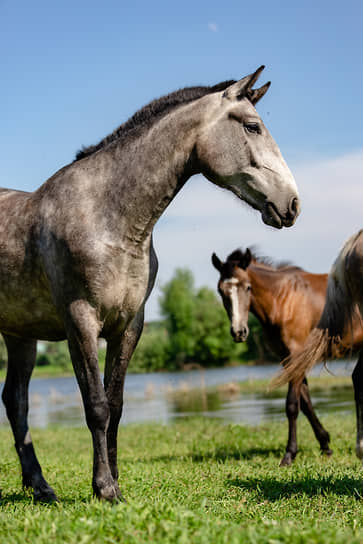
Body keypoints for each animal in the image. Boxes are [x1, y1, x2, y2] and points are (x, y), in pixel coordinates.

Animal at [0, 67, 300, 502]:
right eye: (251, 126)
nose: (292, 204)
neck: (109, 218)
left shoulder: (128, 325)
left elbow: (116, 405)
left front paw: (113, 482)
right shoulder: (80, 321)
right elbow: (96, 406)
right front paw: (105, 489)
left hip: (20, 335)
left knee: (16, 401)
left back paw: (40, 486)